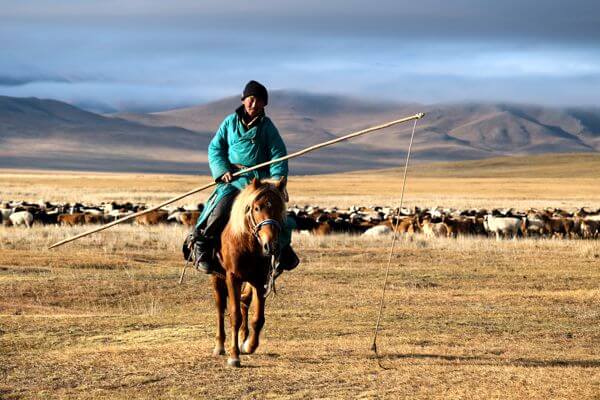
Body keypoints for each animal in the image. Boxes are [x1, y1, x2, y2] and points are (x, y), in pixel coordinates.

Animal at [210, 177, 288, 368]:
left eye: (280, 208)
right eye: (257, 208)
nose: (270, 246)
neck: (246, 243)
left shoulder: (260, 280)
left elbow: (258, 318)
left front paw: (248, 345)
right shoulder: (232, 277)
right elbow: (235, 315)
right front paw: (234, 356)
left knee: (245, 302)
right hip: (217, 277)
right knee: (220, 308)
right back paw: (220, 346)